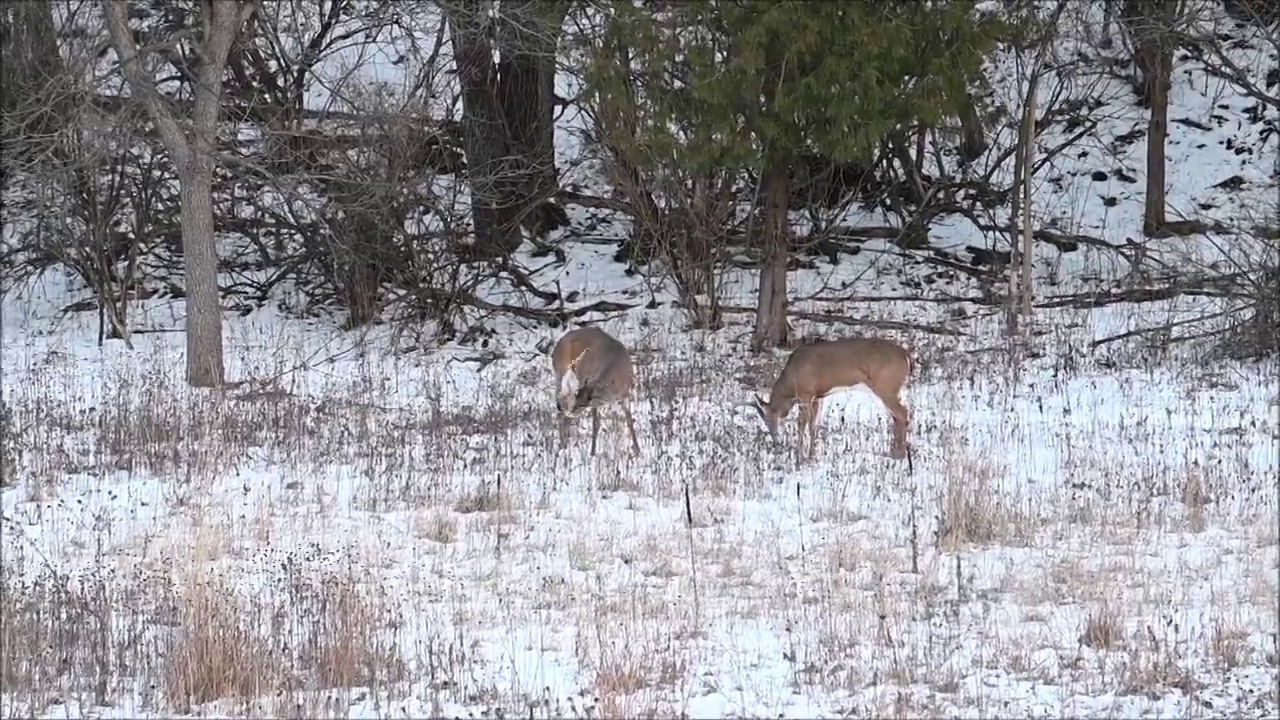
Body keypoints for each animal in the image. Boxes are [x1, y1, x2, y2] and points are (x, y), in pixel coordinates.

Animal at [550, 325, 640, 453]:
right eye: (579, 400)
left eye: (583, 404)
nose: (571, 411)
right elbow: (595, 423)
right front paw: (592, 452)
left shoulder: (626, 393)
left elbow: (629, 419)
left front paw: (637, 449)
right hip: (561, 375)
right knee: (560, 412)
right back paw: (563, 445)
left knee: (562, 412)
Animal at [747, 335, 916, 466]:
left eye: (767, 419)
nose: (775, 441)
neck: (790, 383)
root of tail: (906, 356)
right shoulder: (817, 397)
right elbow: (812, 424)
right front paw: (811, 456)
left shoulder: (805, 393)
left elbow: (801, 424)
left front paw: (799, 457)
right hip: (895, 389)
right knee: (896, 416)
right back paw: (893, 452)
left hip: (886, 387)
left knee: (902, 413)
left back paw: (899, 455)